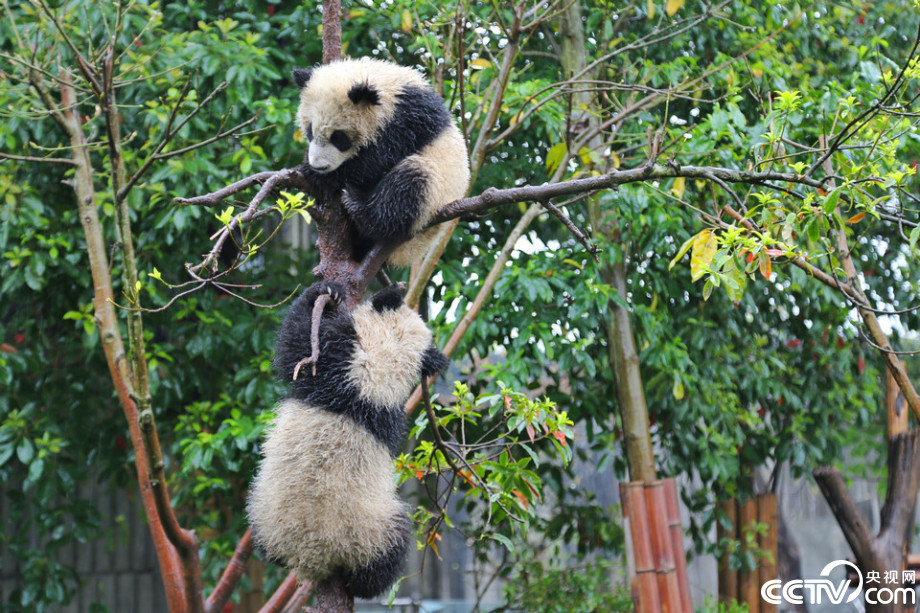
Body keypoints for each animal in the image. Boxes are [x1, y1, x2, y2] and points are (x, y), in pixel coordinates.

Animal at [247, 281, 448, 599]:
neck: (379, 369)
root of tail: (312, 557)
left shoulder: (337, 363)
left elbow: (296, 345)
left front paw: (317, 295)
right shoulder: (345, 367)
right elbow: (301, 344)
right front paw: (326, 290)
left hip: (371, 531)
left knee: (394, 541)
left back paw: (364, 585)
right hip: (265, 511)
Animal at [291, 58, 470, 267]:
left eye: (338, 137)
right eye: (310, 131)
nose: (320, 166)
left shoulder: (408, 119)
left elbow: (377, 158)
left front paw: (320, 176)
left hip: (434, 197)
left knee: (408, 185)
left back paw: (360, 207)